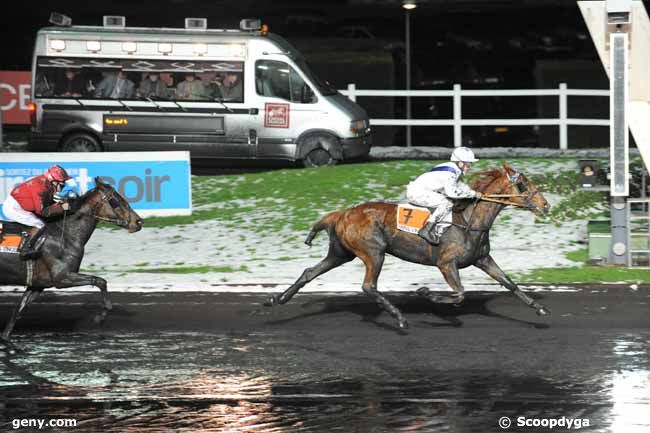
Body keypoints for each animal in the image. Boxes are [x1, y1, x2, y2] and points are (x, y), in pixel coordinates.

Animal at [0, 177, 142, 340]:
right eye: (115, 200)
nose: (139, 222)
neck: (65, 234)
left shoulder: (37, 284)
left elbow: (18, 310)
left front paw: (5, 337)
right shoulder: (61, 278)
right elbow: (100, 281)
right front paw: (99, 318)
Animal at [266, 162, 548, 328]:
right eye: (522, 185)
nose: (545, 205)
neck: (469, 220)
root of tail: (343, 214)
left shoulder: (482, 259)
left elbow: (509, 283)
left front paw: (539, 308)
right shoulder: (447, 263)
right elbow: (460, 293)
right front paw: (424, 293)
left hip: (341, 253)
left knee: (309, 272)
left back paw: (278, 299)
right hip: (373, 252)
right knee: (368, 286)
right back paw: (399, 317)